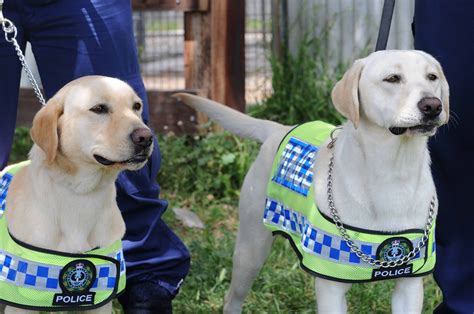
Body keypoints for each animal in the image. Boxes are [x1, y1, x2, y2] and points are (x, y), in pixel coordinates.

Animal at [0, 75, 153, 312]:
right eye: (98, 109)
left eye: (136, 106)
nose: (146, 137)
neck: (81, 196)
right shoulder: (21, 304)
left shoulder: (100, 301)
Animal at [176, 50, 450, 312]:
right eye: (392, 78)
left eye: (432, 77)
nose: (433, 105)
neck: (393, 172)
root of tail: (278, 128)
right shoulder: (331, 288)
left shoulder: (410, 285)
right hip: (250, 249)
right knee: (232, 297)